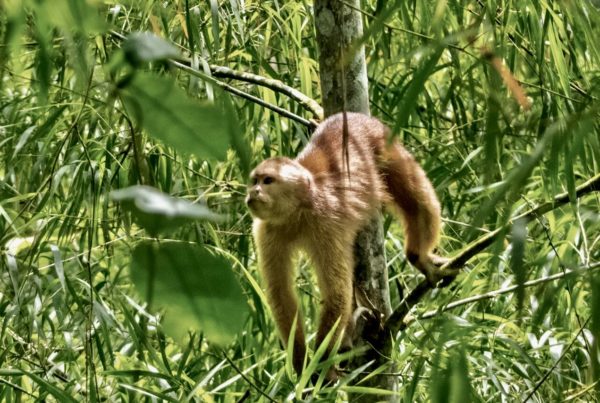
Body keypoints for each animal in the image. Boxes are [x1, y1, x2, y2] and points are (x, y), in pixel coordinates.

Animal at [246, 112, 448, 380]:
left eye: (268, 181)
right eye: (254, 181)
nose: (253, 192)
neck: (298, 211)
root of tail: (350, 115)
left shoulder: (325, 222)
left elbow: (336, 295)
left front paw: (320, 367)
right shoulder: (266, 230)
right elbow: (282, 296)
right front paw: (301, 362)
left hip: (383, 141)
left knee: (418, 200)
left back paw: (418, 256)